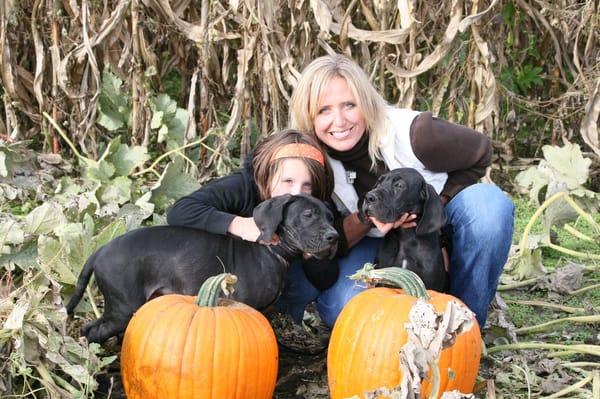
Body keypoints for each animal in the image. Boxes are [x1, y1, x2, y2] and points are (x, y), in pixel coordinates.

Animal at [67, 194, 338, 344]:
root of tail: (100, 250)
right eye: (308, 214)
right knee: (92, 331)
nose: (334, 237)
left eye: (331, 216)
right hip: (123, 308)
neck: (272, 249)